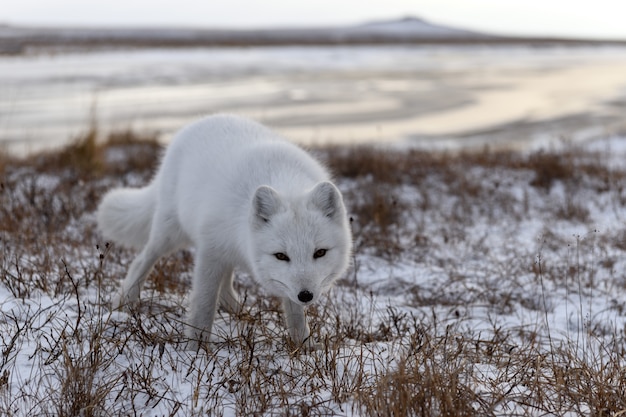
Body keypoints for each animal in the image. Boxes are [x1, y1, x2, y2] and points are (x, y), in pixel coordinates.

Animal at [96, 114, 352, 344]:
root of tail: (199, 121)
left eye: (320, 252)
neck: (284, 182)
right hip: (170, 234)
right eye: (281, 256)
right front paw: (197, 350)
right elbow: (204, 305)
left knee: (227, 288)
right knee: (143, 260)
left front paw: (304, 349)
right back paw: (124, 301)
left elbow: (296, 316)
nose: (306, 295)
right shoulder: (210, 252)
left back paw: (244, 314)